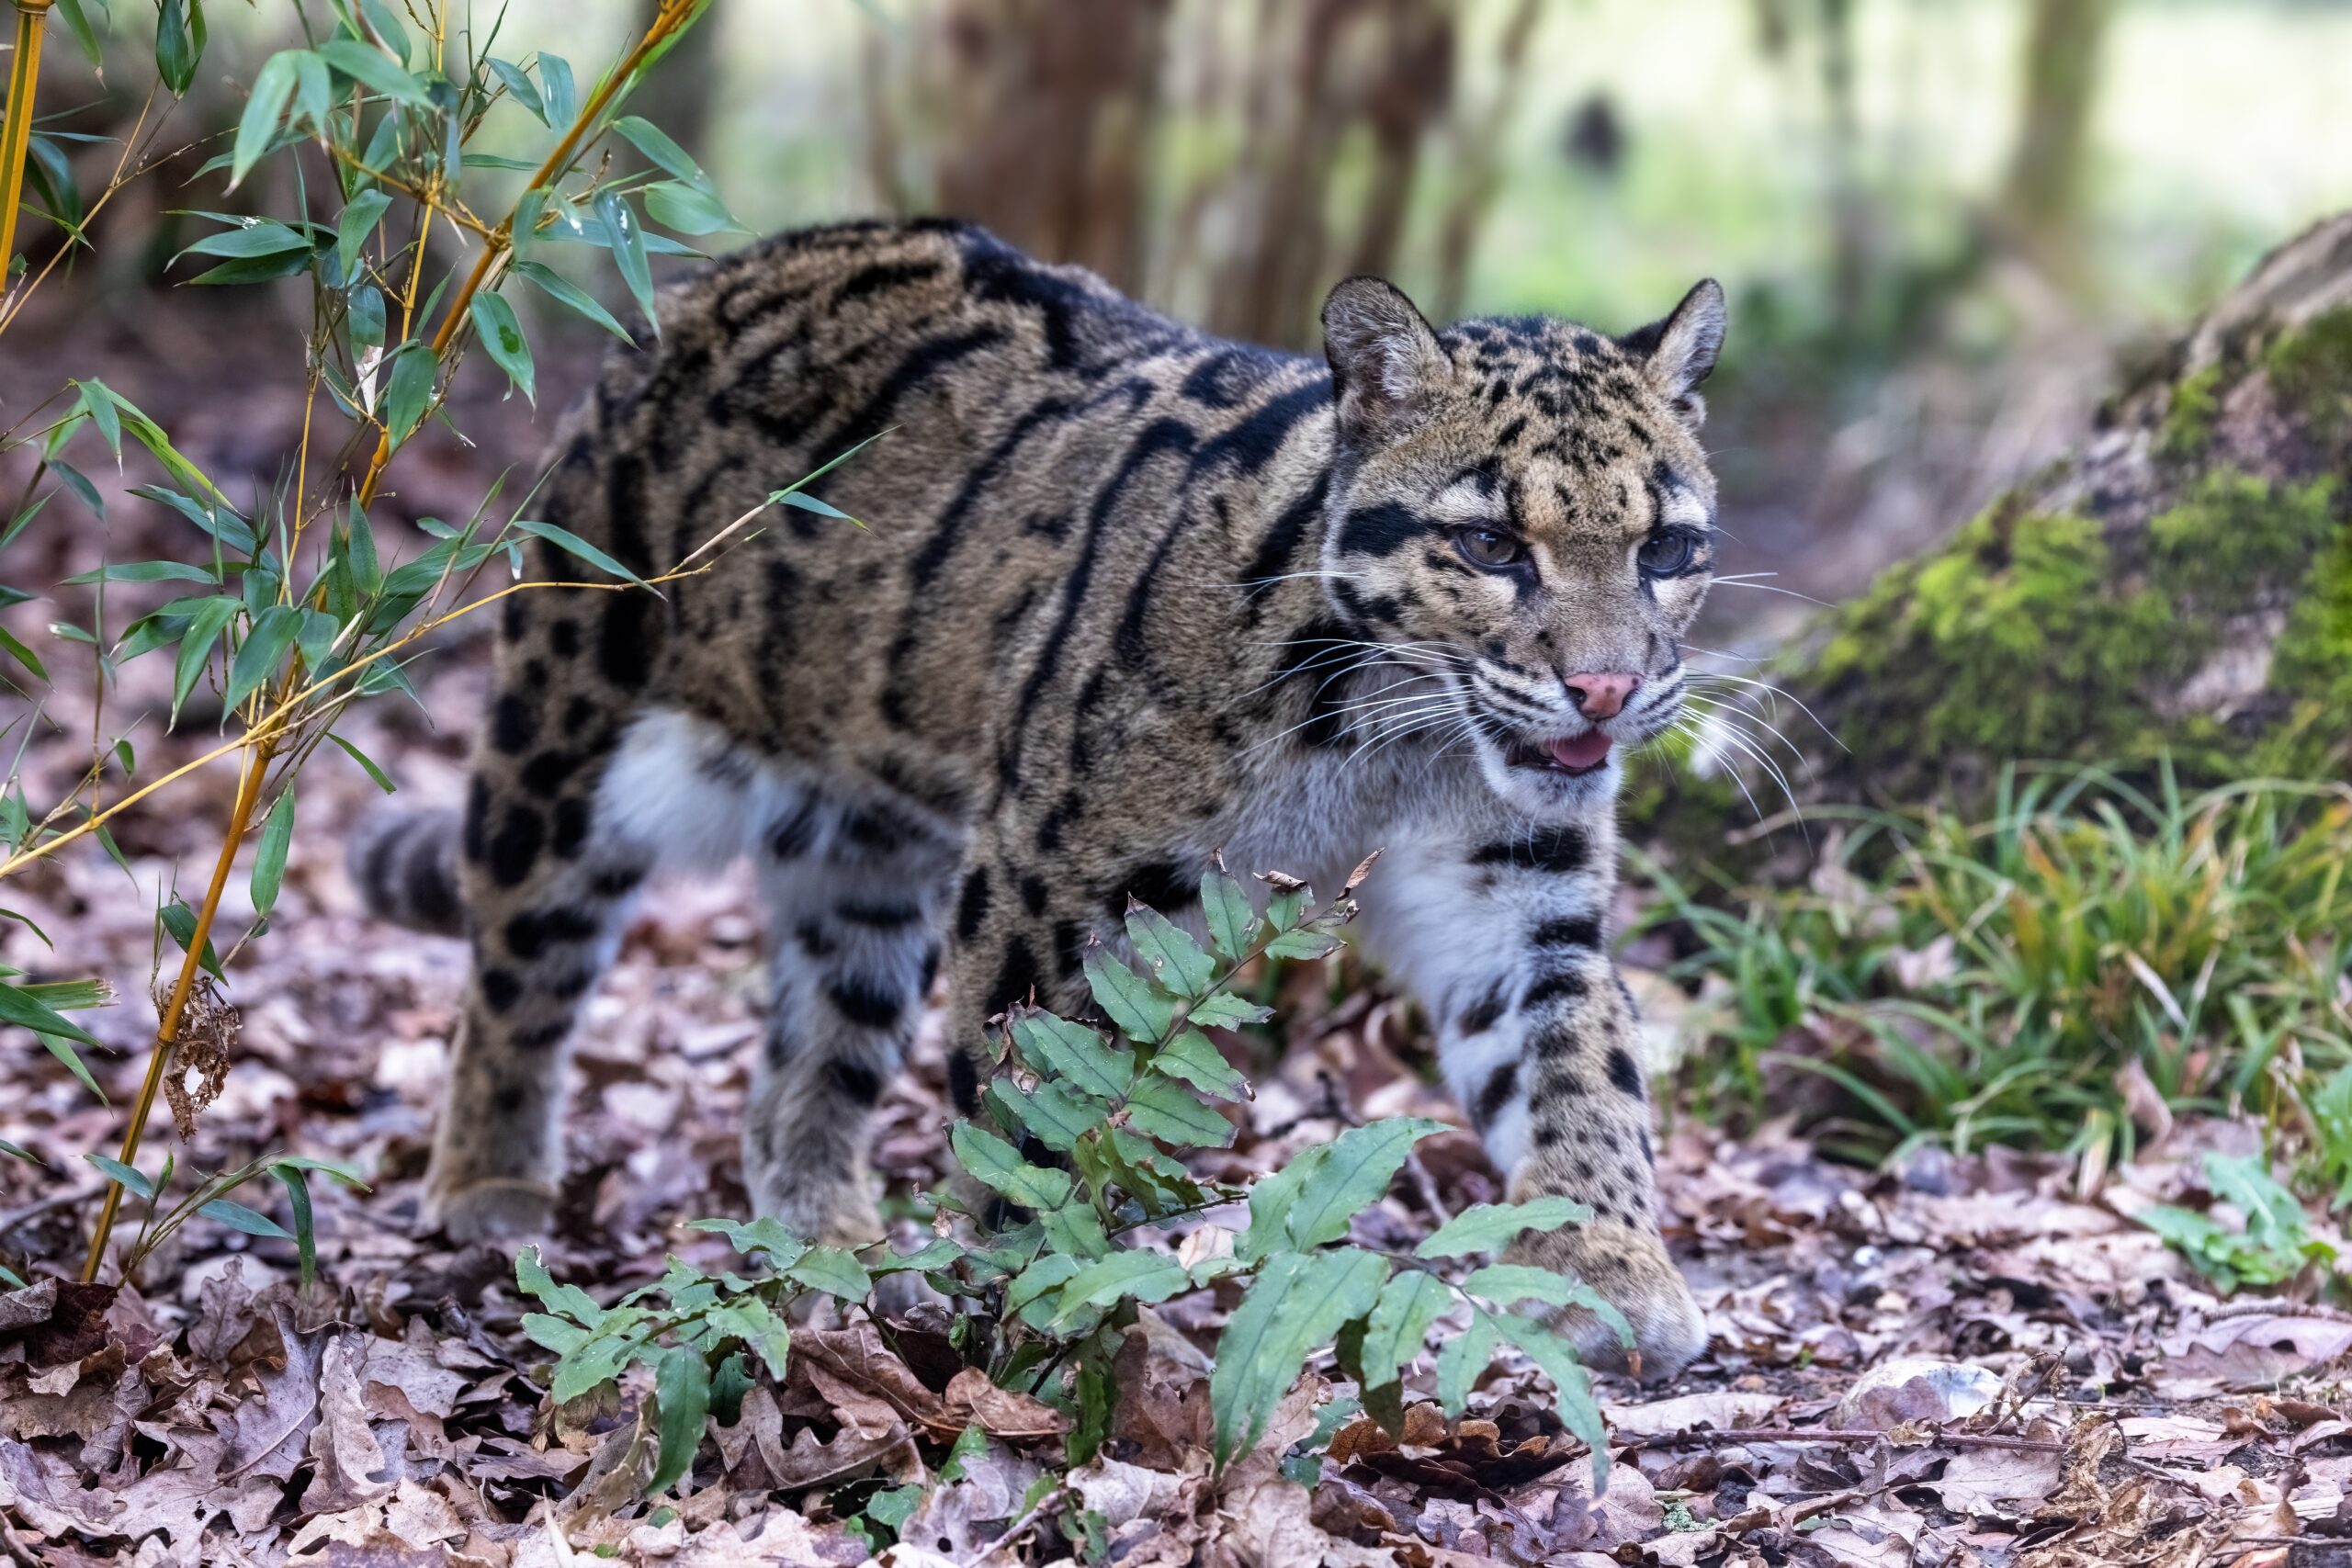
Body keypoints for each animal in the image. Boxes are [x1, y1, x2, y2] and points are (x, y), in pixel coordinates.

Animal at [357, 217, 1740, 1372]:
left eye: (1667, 549)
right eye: (1492, 544)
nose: (1607, 689)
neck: (1398, 742)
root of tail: (710, 271)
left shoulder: (1518, 895)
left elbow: (1580, 1065)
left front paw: (1612, 1264)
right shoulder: (1054, 873)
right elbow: (1028, 1107)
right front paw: (1029, 1297)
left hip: (871, 848)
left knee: (816, 1039)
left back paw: (825, 1227)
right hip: (575, 710)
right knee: (522, 949)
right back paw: (487, 1184)